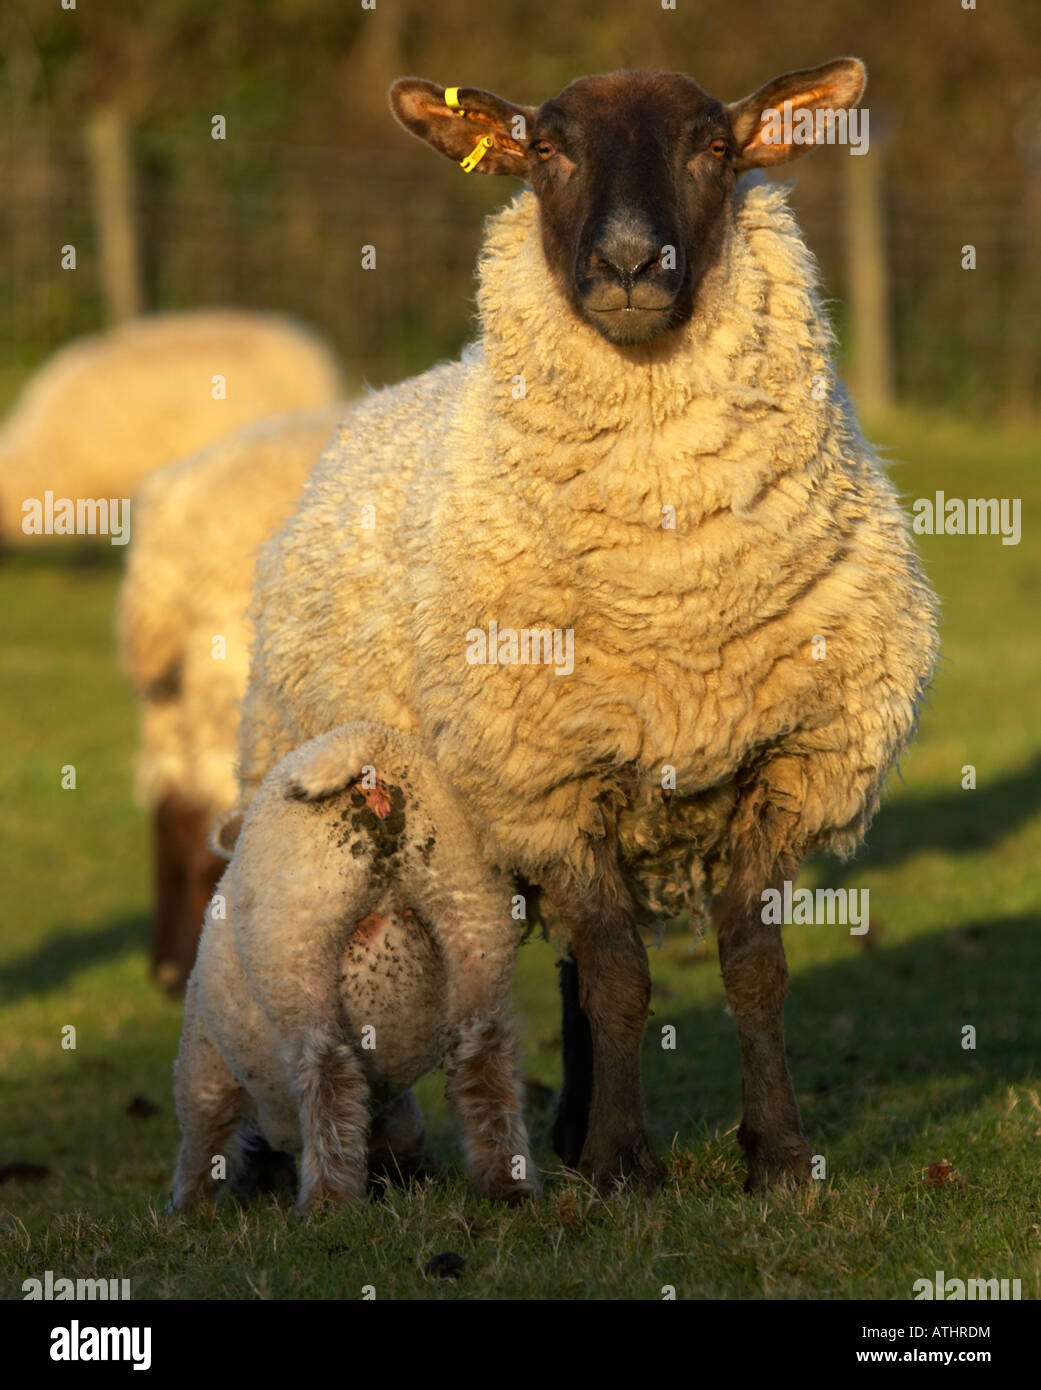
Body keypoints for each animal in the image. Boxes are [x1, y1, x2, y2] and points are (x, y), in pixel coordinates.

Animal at [172, 721, 536, 1209]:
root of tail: (365, 741)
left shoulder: (203, 1062)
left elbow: (201, 1139)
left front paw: (186, 1210)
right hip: (472, 906)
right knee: (483, 1052)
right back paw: (506, 1185)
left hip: (295, 941)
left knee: (327, 1070)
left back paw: (329, 1201)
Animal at [235, 62, 939, 1193]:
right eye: (546, 150)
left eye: (714, 147)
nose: (627, 263)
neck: (676, 583)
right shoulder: (547, 778)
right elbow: (620, 978)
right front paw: (618, 1165)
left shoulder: (788, 761)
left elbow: (750, 968)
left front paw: (777, 1155)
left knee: (571, 962)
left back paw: (564, 1126)